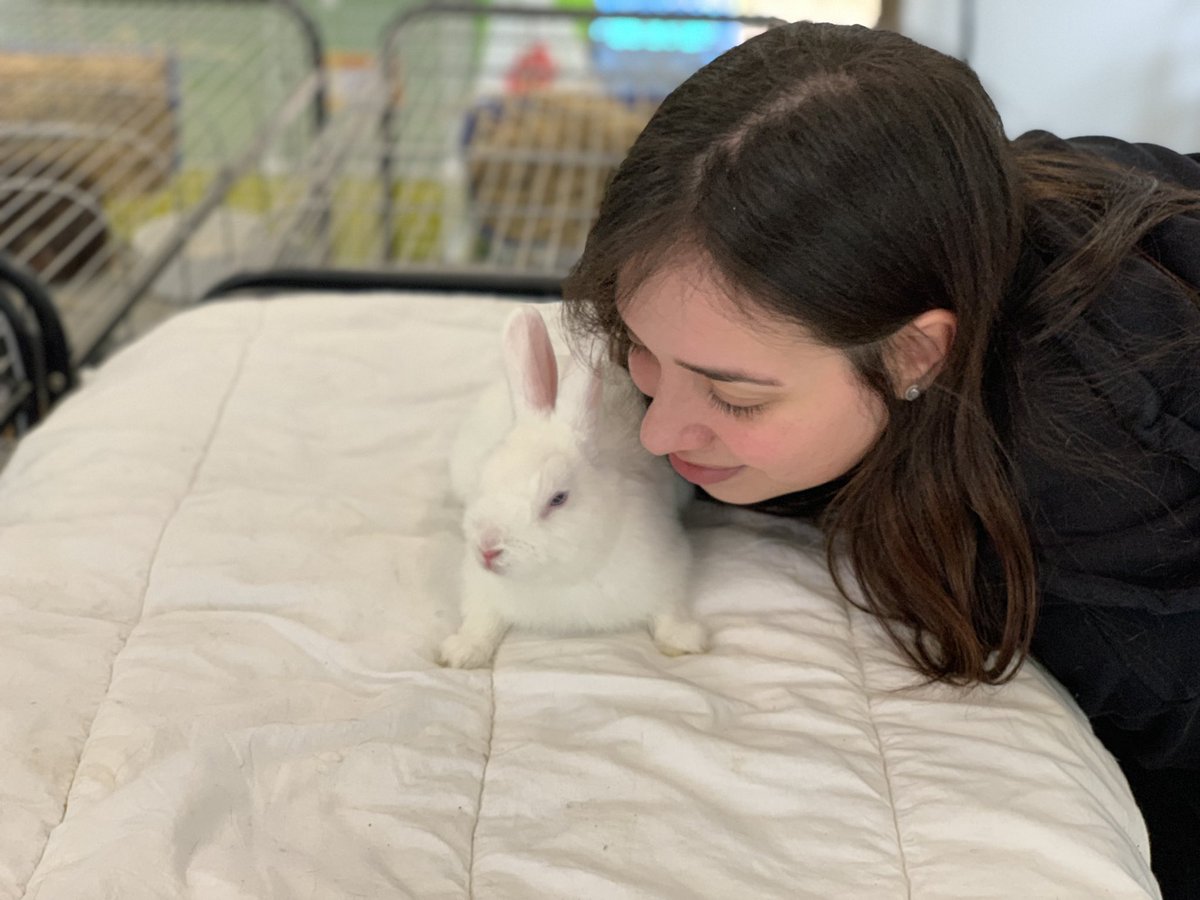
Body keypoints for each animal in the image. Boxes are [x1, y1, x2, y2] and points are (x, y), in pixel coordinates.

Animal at [438, 305, 708, 669]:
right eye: (485, 478)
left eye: (558, 498)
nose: (488, 549)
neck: (562, 577)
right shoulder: (482, 591)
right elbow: (482, 622)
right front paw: (462, 652)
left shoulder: (667, 571)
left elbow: (669, 610)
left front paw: (684, 640)